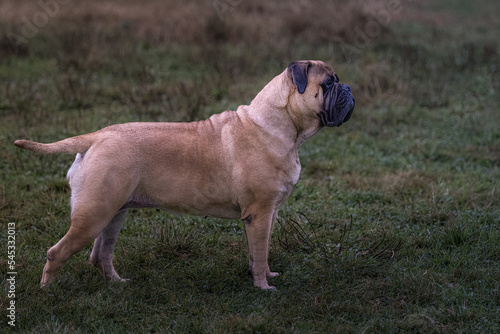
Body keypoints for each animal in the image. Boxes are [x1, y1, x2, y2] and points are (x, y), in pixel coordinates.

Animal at [13, 60, 354, 290]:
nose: (349, 89)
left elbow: (260, 252)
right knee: (57, 253)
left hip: (112, 214)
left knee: (101, 254)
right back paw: (49, 292)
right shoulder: (260, 213)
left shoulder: (265, 215)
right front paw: (263, 287)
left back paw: (118, 283)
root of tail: (95, 137)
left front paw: (266, 275)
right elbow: (260, 252)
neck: (279, 126)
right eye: (328, 84)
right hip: (93, 216)